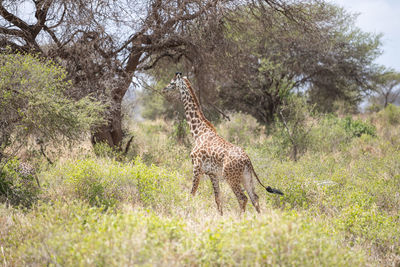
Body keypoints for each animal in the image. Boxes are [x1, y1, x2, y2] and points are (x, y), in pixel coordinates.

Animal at [161, 72, 282, 215]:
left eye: (172, 83)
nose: (164, 88)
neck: (198, 132)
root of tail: (248, 160)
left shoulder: (196, 167)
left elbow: (192, 193)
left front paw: (186, 213)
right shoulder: (212, 174)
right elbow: (217, 198)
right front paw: (220, 216)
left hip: (231, 177)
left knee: (243, 198)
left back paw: (240, 218)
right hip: (246, 177)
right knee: (254, 198)